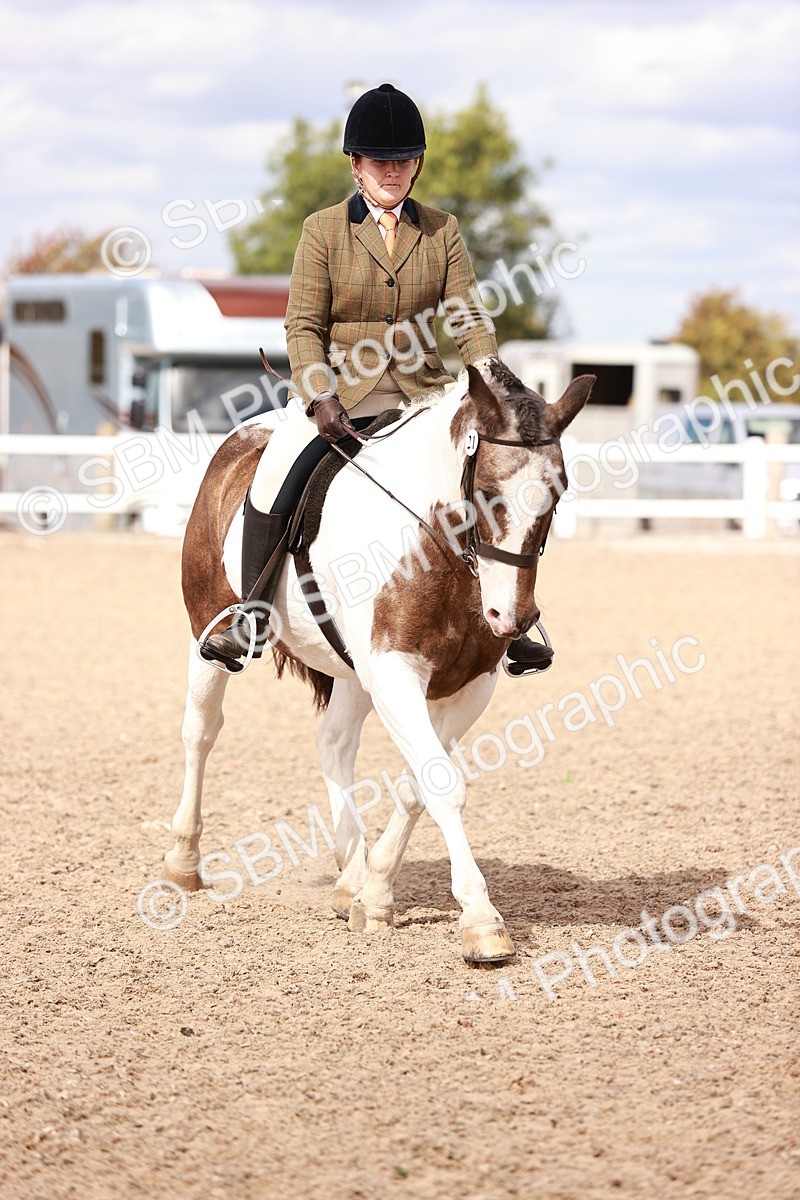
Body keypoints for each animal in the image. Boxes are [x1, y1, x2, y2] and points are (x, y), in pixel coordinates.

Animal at [164, 358, 593, 963]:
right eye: (487, 492)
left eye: (557, 494)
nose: (510, 616)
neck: (438, 546)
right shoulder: (395, 673)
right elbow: (441, 784)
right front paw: (482, 921)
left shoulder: (468, 685)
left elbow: (420, 783)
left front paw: (376, 893)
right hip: (208, 629)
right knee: (200, 733)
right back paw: (183, 863)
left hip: (354, 670)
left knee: (334, 743)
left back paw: (350, 876)